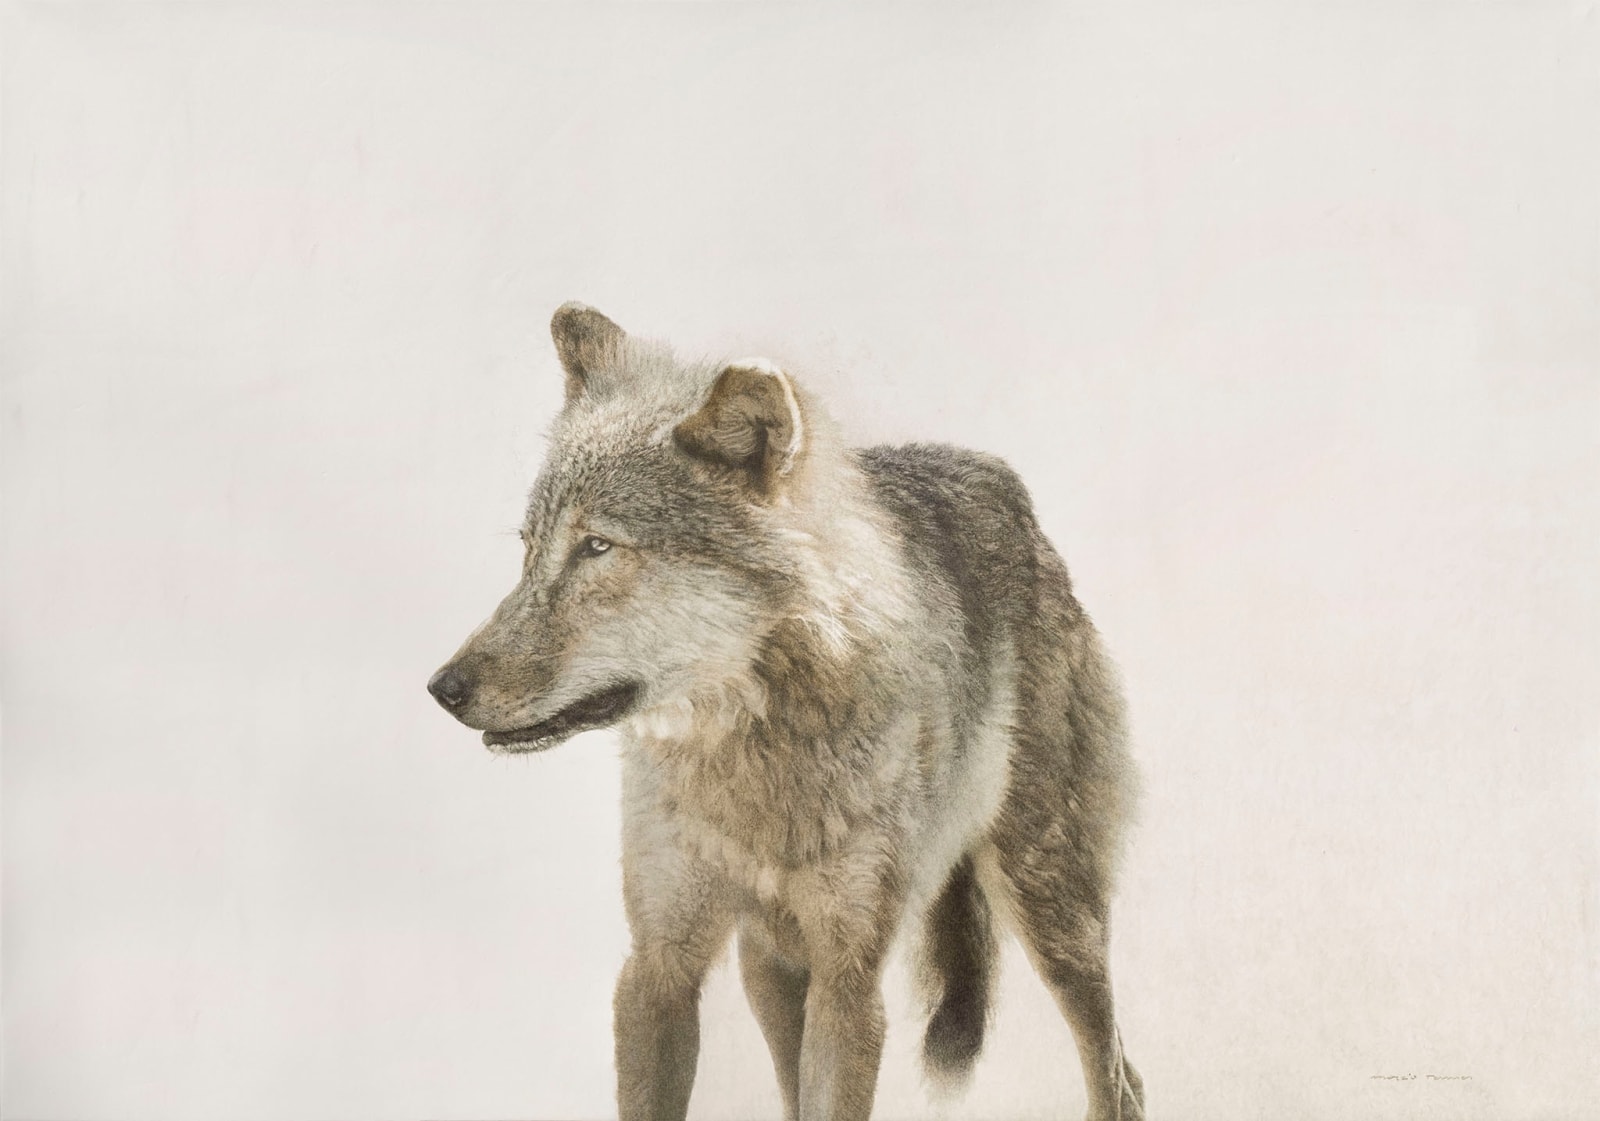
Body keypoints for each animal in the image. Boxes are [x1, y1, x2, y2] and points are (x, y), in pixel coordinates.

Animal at [428, 304, 1145, 1121]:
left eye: (598, 547)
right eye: (529, 548)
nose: (443, 688)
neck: (751, 767)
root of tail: (1005, 489)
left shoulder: (848, 980)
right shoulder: (657, 969)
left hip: (1051, 909)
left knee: (1118, 1070)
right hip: (768, 965)